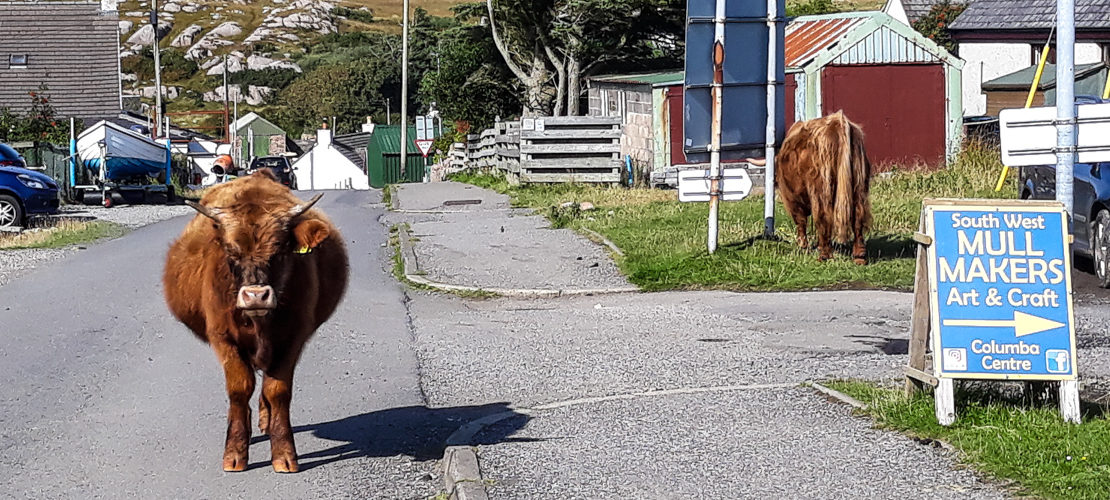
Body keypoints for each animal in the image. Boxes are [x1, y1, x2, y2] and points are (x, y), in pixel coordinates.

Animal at [163, 170, 349, 473]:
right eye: (231, 253)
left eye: (281, 251)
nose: (256, 296)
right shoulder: (223, 337)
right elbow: (240, 388)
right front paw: (235, 452)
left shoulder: (293, 336)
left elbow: (277, 390)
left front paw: (283, 452)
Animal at [773, 111, 872, 264]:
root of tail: (838, 121)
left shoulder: (792, 198)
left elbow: (800, 221)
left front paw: (802, 247)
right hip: (859, 185)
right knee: (858, 217)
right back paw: (859, 257)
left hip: (820, 188)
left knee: (823, 216)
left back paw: (824, 256)